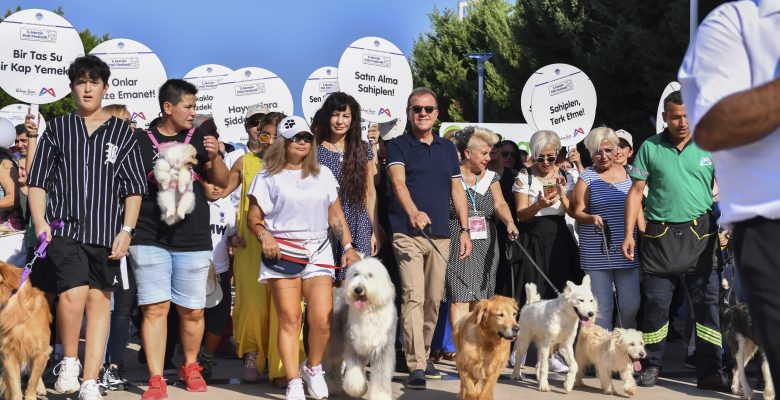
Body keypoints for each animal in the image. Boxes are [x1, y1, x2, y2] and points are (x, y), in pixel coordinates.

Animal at [322, 256, 396, 400]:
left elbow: (381, 375)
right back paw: (332, 386)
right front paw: (357, 389)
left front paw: (380, 395)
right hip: (336, 341)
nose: (358, 289)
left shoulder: (383, 349)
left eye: (370, 275)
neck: (367, 311)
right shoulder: (353, 343)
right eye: (355, 274)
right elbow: (354, 370)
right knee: (332, 362)